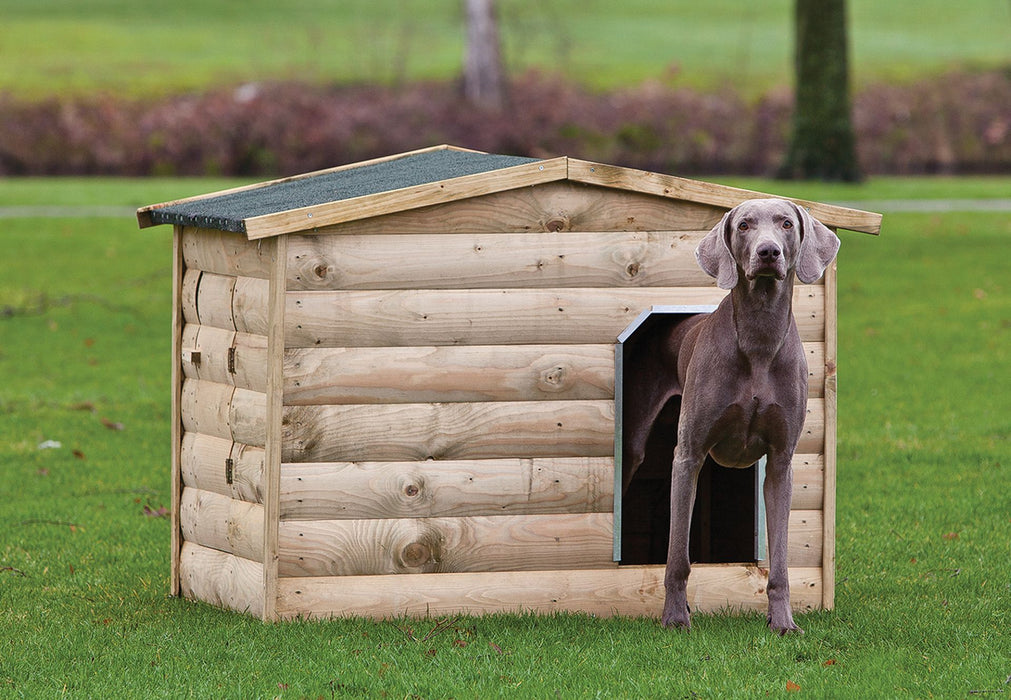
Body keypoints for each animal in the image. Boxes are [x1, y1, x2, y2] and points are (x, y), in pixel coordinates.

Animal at [618, 198, 841, 635]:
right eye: (743, 226)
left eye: (786, 224)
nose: (768, 252)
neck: (759, 339)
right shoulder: (687, 455)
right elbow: (678, 557)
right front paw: (675, 618)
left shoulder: (781, 462)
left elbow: (780, 562)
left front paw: (783, 622)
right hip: (639, 445)